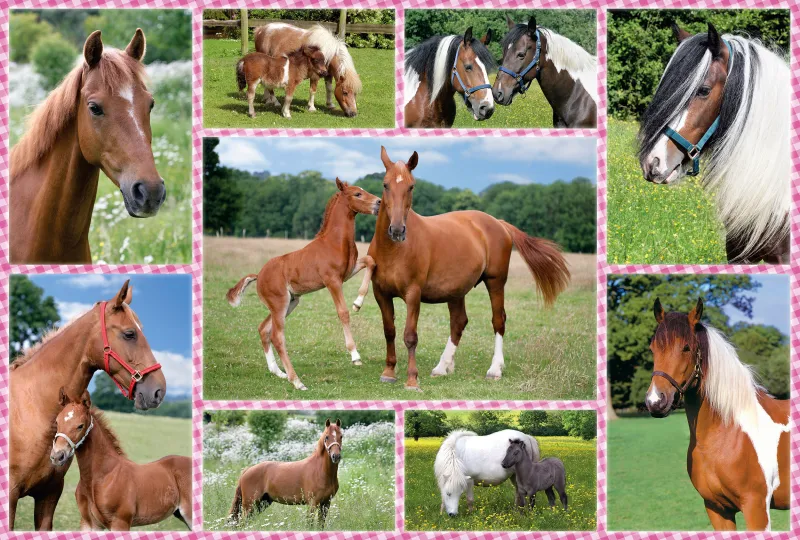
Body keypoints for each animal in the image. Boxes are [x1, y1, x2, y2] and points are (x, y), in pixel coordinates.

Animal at [49, 389, 191, 530]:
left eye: (80, 425)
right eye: (57, 422)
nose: (57, 456)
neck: (102, 477)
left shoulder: (120, 522)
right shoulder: (88, 523)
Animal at [226, 179, 381, 391]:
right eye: (357, 194)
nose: (379, 202)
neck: (334, 242)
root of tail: (259, 275)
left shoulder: (348, 272)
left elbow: (371, 261)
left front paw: (358, 302)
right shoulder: (332, 280)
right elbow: (343, 312)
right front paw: (355, 355)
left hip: (290, 303)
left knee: (263, 329)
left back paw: (278, 372)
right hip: (280, 304)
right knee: (277, 337)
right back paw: (297, 381)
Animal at [356, 147, 571, 390]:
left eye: (411, 186)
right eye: (385, 184)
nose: (397, 230)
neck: (394, 250)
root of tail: (499, 223)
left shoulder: (413, 294)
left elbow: (410, 336)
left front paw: (412, 379)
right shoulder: (381, 294)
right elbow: (389, 331)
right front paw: (389, 372)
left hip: (496, 282)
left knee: (498, 320)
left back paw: (494, 369)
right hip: (456, 290)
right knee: (459, 322)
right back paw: (442, 367)